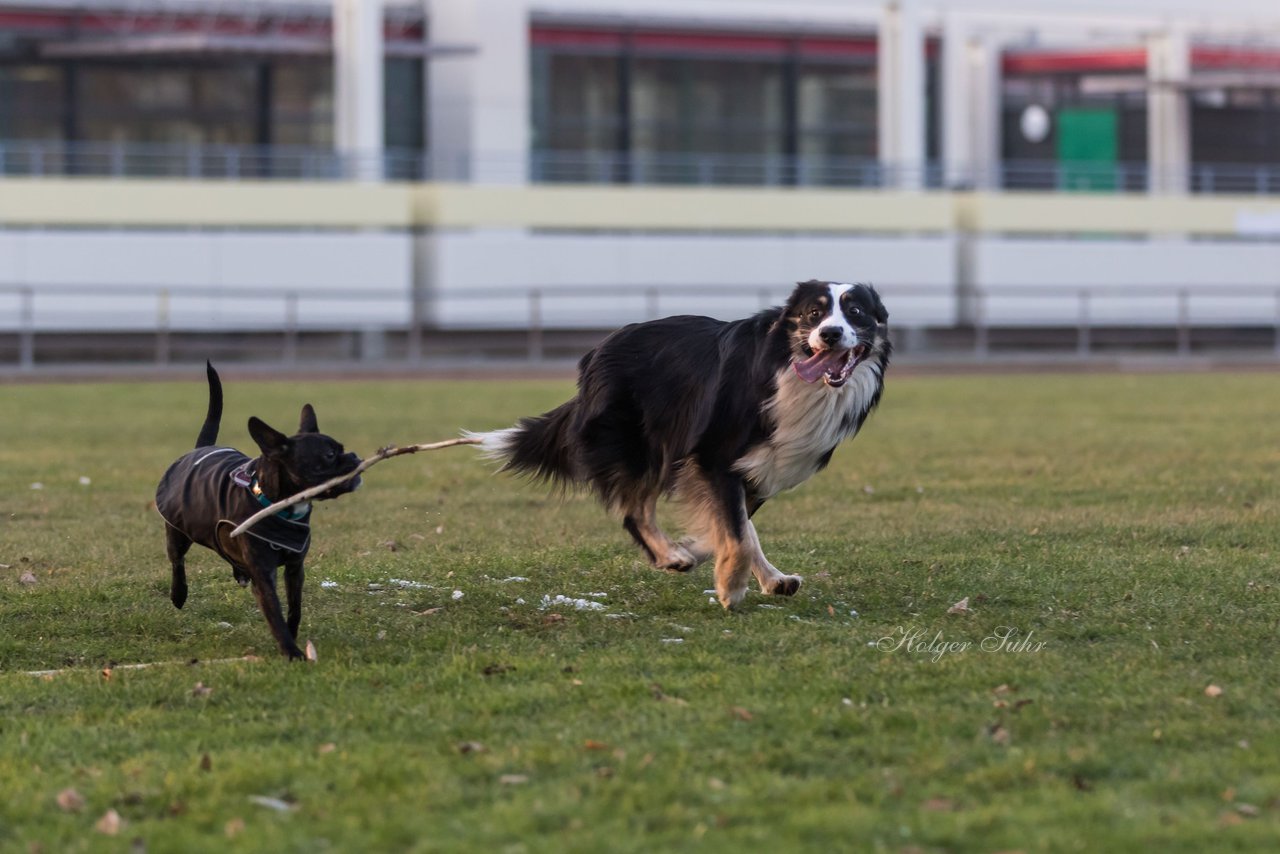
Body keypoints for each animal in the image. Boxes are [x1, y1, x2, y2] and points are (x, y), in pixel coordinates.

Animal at [159, 361, 363, 660]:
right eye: (329, 455)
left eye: (343, 449)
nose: (356, 457)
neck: (279, 505)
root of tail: (201, 448)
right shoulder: (265, 576)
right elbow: (274, 612)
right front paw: (291, 652)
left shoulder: (295, 568)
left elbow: (294, 608)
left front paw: (293, 637)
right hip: (178, 533)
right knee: (177, 561)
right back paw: (178, 594)